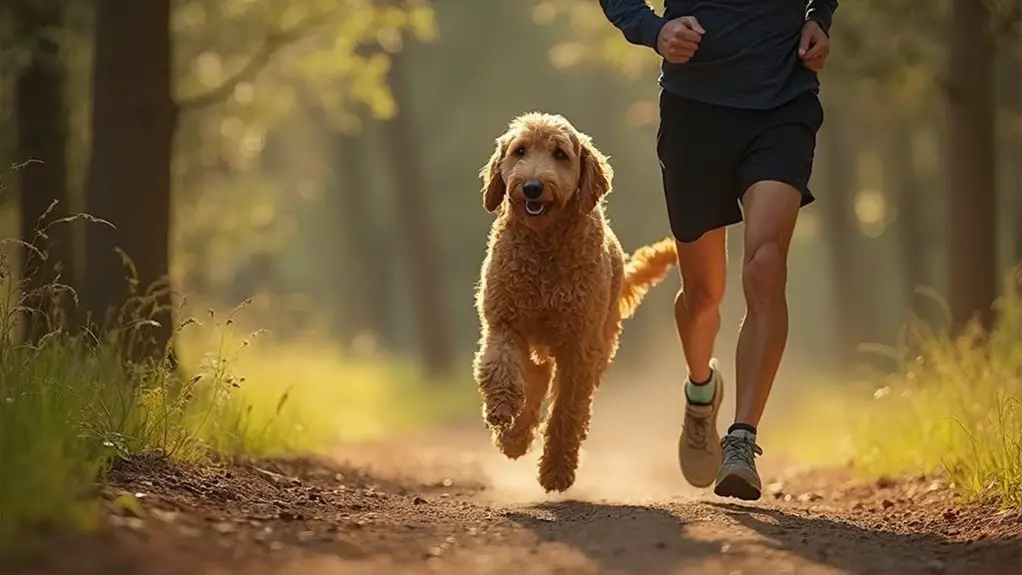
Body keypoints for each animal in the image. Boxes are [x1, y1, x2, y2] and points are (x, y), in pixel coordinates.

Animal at [470, 113, 678, 494]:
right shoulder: (505, 320)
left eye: (560, 154)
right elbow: (500, 367)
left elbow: (567, 411)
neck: (543, 246)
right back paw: (515, 437)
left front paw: (556, 471)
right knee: (534, 380)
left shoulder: (579, 346)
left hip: (598, 342)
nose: (532, 186)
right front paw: (502, 412)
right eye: (520, 151)